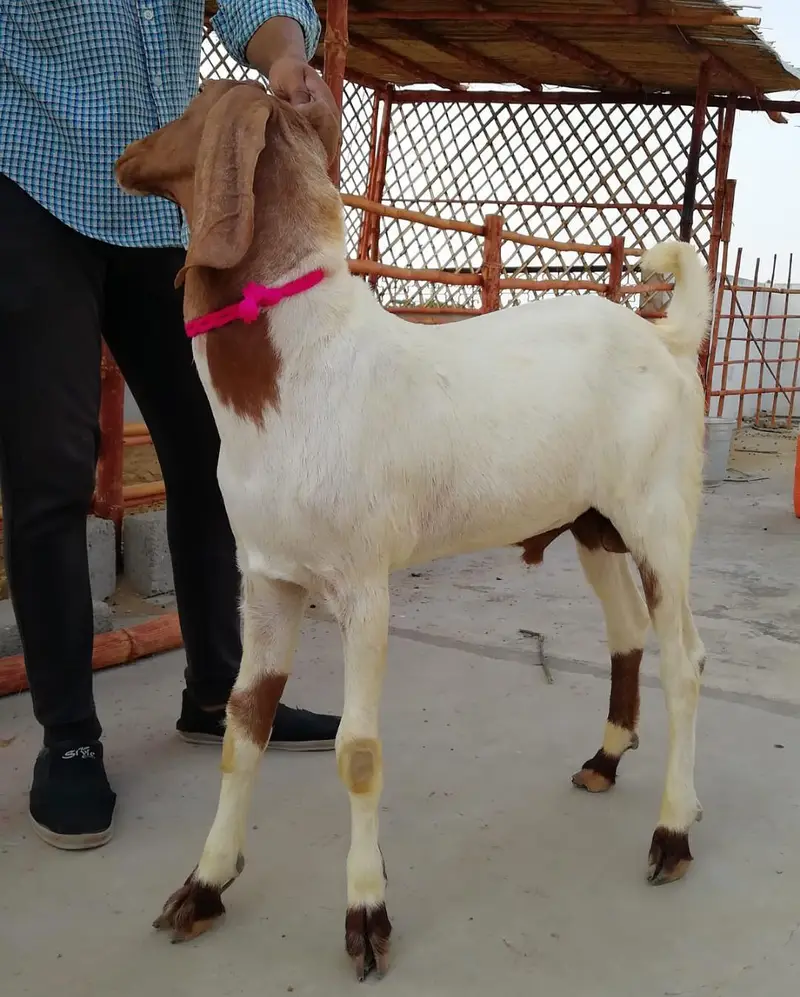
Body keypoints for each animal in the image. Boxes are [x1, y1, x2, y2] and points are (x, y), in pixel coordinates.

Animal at [116, 79, 710, 980]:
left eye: (194, 107)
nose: (123, 154)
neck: (302, 368)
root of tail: (665, 336)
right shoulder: (268, 577)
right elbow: (243, 727)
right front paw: (205, 886)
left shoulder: (363, 583)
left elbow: (358, 751)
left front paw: (367, 915)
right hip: (593, 523)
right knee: (630, 631)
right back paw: (608, 759)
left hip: (660, 520)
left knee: (684, 658)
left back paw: (673, 833)